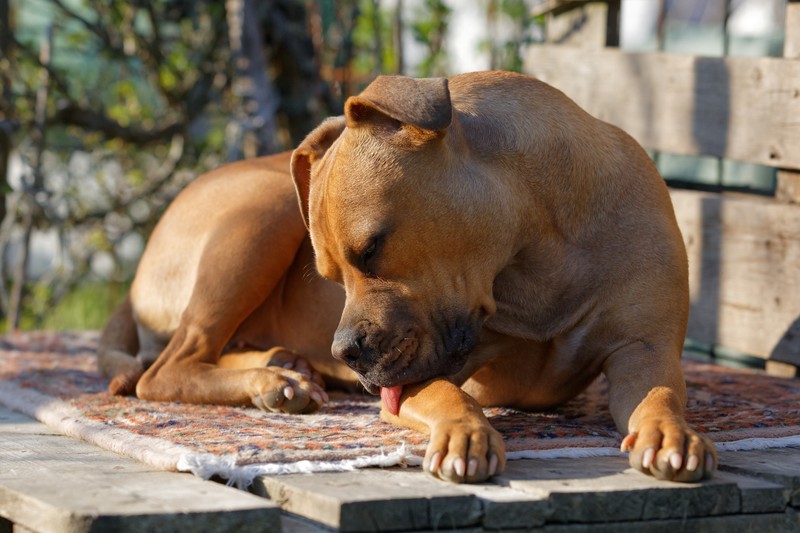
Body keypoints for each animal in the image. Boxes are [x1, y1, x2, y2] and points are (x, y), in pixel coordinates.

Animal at [100, 69, 720, 482]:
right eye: (327, 274)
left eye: (372, 249)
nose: (346, 352)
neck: (534, 256)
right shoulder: (411, 377)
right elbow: (447, 391)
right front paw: (466, 431)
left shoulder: (644, 350)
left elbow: (661, 393)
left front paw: (671, 432)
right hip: (262, 212)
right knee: (166, 369)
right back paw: (272, 381)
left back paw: (283, 368)